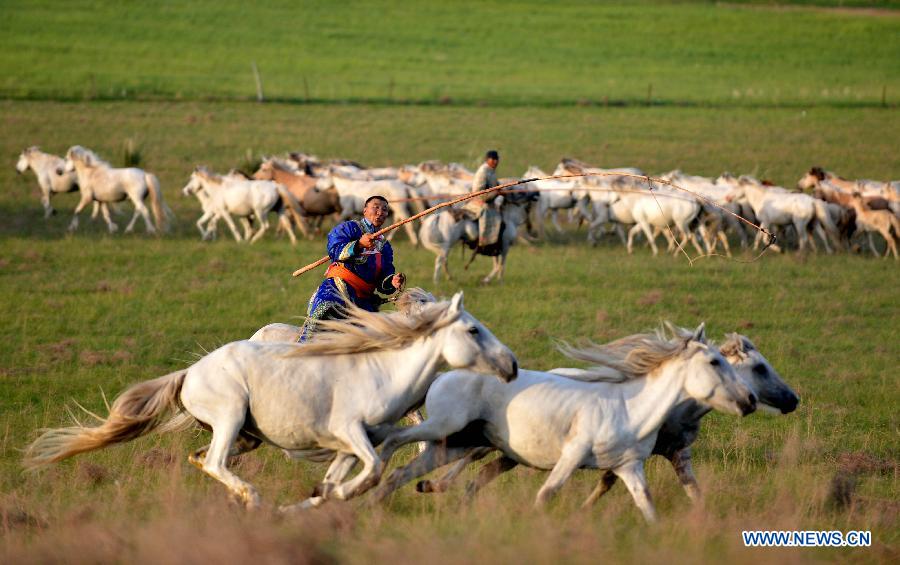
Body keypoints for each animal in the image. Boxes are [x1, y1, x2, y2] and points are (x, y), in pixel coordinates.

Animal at [24, 290, 516, 512]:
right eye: (473, 330)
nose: (511, 365)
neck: (382, 369)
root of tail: (189, 374)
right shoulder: (349, 431)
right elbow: (375, 468)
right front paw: (339, 495)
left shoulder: (353, 442)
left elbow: (351, 473)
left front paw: (322, 497)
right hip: (229, 415)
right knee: (215, 461)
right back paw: (254, 500)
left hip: (247, 435)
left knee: (202, 459)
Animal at [374, 322, 760, 520]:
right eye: (714, 362)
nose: (750, 400)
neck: (629, 409)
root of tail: (443, 375)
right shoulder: (572, 455)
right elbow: (547, 493)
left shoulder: (629, 466)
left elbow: (646, 503)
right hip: (444, 428)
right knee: (396, 442)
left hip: (454, 444)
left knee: (405, 473)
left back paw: (377, 502)